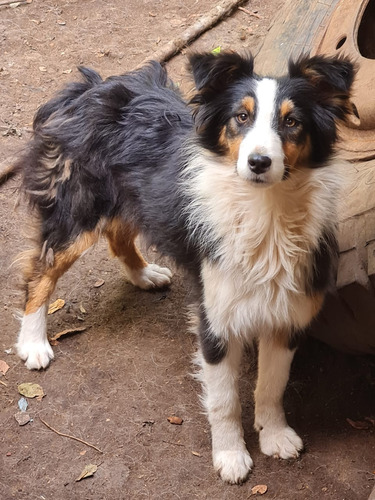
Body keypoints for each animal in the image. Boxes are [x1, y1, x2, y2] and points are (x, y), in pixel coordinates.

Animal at [8, 51, 356, 484]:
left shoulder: (286, 312)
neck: (265, 211)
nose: (259, 162)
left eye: (292, 122)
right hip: (78, 210)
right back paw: (33, 342)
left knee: (118, 235)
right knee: (40, 272)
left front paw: (274, 435)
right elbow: (224, 400)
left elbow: (273, 385)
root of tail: (91, 86)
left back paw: (145, 275)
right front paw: (230, 456)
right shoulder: (215, 316)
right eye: (241, 117)